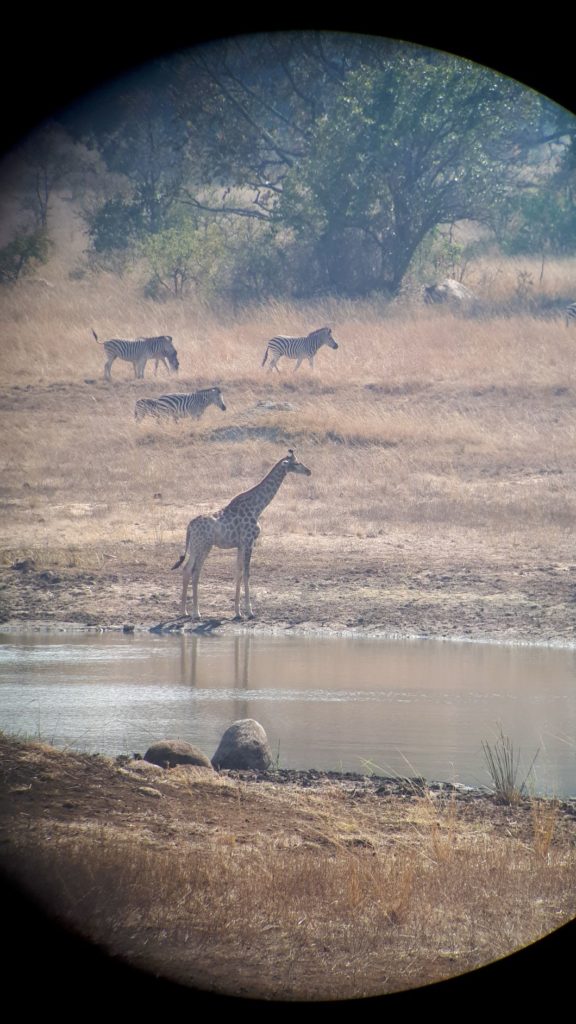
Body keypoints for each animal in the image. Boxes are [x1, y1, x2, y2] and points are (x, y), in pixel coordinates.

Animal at [171, 452, 309, 618]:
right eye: (296, 463)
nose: (309, 471)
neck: (257, 507)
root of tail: (189, 526)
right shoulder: (249, 541)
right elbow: (247, 573)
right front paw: (250, 611)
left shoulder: (241, 544)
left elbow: (238, 572)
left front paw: (238, 612)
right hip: (204, 546)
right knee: (195, 571)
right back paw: (196, 613)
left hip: (194, 547)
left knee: (186, 569)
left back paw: (184, 611)